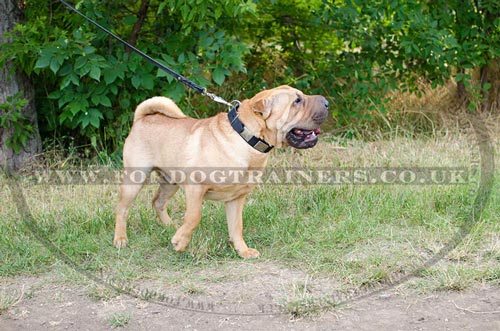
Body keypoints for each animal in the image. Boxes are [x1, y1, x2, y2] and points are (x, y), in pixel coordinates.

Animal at [115, 85, 330, 260]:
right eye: (297, 101)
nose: (327, 103)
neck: (246, 138)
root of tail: (142, 118)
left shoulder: (236, 198)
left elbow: (236, 227)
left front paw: (243, 251)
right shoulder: (195, 188)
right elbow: (194, 217)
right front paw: (181, 242)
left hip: (170, 181)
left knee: (157, 202)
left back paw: (171, 227)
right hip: (135, 179)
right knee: (122, 208)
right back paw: (120, 239)